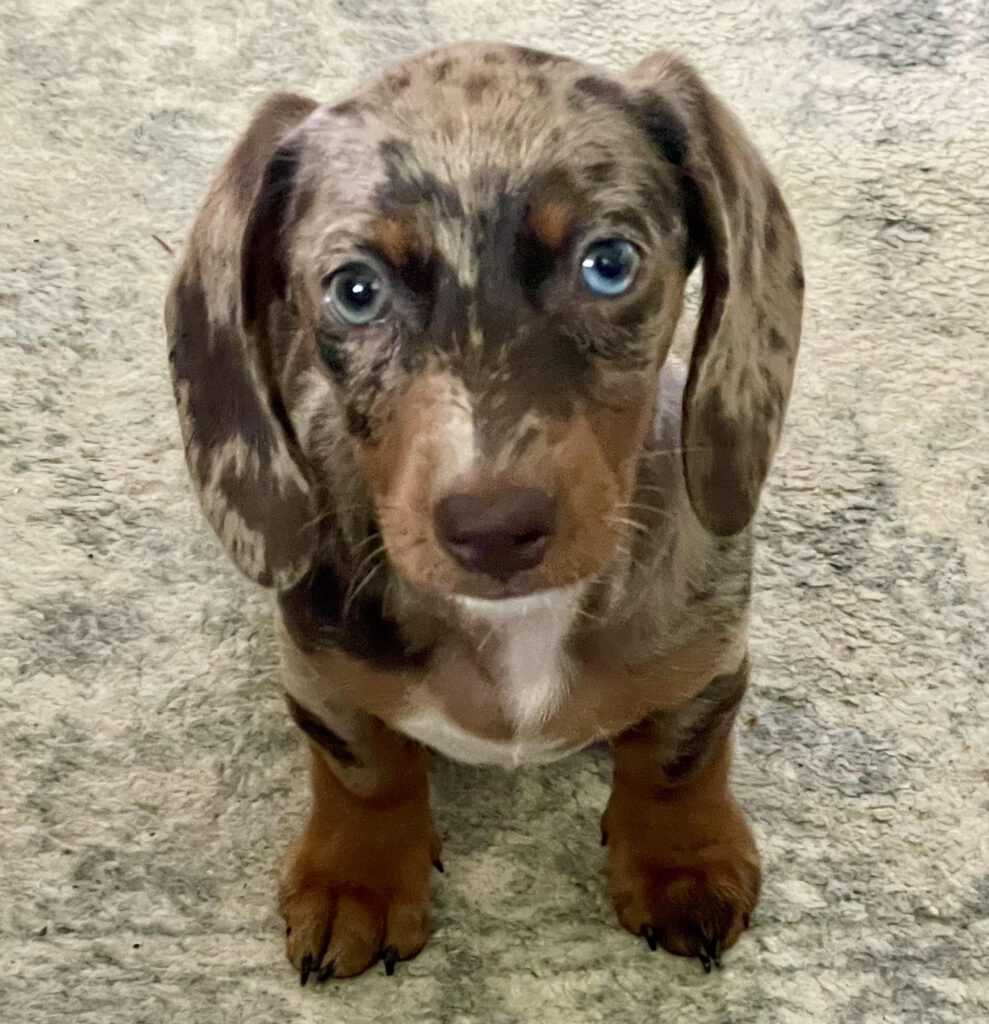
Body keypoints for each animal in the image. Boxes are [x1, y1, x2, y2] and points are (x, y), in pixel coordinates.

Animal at [162, 41, 802, 983]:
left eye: (608, 262)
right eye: (355, 290)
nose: (493, 529)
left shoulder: (709, 650)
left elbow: (679, 757)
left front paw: (682, 864)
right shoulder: (317, 665)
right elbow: (362, 767)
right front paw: (356, 880)